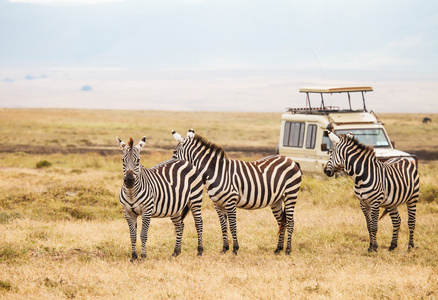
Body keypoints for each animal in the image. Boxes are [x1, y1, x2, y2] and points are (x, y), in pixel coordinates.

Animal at [171, 129, 302, 255]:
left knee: (290, 222)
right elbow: (223, 226)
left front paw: (235, 249)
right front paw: (224, 249)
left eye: (175, 152)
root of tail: (290, 160)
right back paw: (278, 249)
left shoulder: (230, 201)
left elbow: (233, 226)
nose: (169, 164)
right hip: (276, 200)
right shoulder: (217, 204)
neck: (216, 172)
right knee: (282, 222)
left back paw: (288, 250)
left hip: (291, 194)